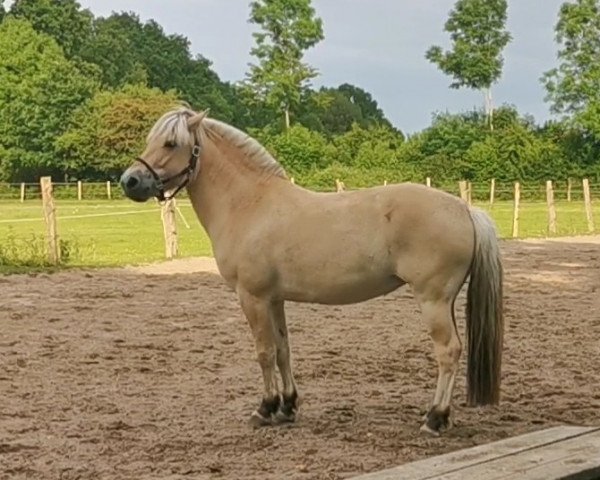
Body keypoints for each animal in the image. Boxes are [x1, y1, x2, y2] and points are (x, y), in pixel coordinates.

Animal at [119, 107, 504, 436]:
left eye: (171, 143)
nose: (130, 181)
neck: (250, 205)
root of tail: (464, 209)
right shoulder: (274, 299)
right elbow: (283, 350)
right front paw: (287, 407)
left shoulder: (252, 298)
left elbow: (264, 352)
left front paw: (265, 409)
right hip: (446, 302)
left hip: (433, 300)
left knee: (448, 351)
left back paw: (434, 418)